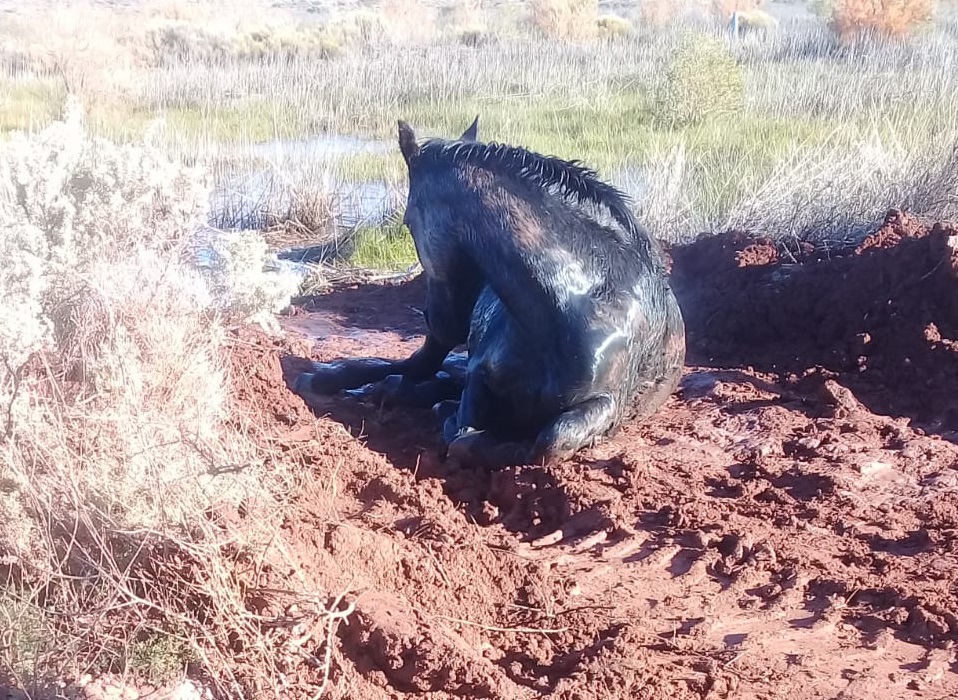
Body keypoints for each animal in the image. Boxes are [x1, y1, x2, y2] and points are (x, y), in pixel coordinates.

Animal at [294, 117, 688, 470]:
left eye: (407, 220)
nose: (434, 317)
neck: (573, 305)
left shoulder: (604, 404)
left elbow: (547, 442)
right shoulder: (479, 372)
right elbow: (463, 429)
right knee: (415, 367)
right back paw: (329, 379)